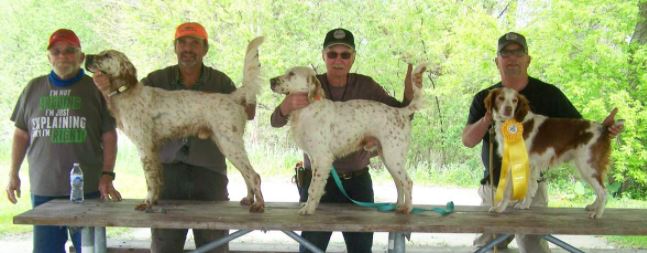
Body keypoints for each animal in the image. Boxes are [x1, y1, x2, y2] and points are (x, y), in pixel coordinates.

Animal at [86, 36, 266, 212]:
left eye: (107, 55)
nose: (87, 57)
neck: (126, 92)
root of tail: (232, 97)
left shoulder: (144, 146)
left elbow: (150, 180)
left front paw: (147, 202)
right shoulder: (153, 149)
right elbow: (157, 179)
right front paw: (154, 200)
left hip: (230, 144)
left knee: (254, 175)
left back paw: (259, 205)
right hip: (226, 144)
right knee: (246, 174)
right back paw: (249, 199)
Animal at [268, 64, 426, 214]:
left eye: (291, 74)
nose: (271, 81)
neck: (306, 109)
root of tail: (400, 111)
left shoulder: (322, 157)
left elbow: (313, 188)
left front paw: (308, 209)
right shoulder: (314, 158)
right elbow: (317, 186)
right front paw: (311, 206)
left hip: (393, 157)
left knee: (408, 182)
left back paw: (407, 208)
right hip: (388, 158)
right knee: (398, 183)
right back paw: (398, 205)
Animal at [486, 86, 624, 217]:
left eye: (514, 100)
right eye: (501, 98)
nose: (508, 109)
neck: (514, 122)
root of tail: (603, 128)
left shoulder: (518, 162)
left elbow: (508, 190)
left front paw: (499, 208)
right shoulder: (531, 165)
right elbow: (531, 187)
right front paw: (524, 205)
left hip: (587, 166)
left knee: (603, 192)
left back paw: (598, 213)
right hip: (585, 168)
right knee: (600, 189)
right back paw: (593, 206)